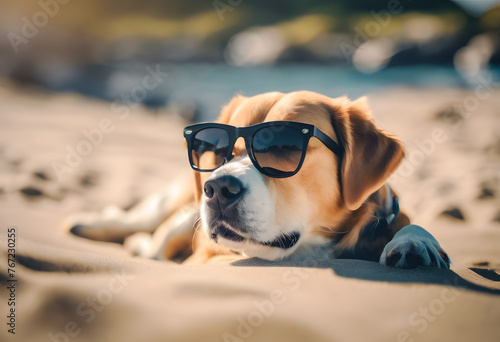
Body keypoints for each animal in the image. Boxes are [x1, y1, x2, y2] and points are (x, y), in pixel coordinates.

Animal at [68, 92, 452, 268]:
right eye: (217, 151)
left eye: (283, 145)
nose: (217, 189)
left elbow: (409, 226)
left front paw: (414, 243)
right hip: (178, 216)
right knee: (146, 234)